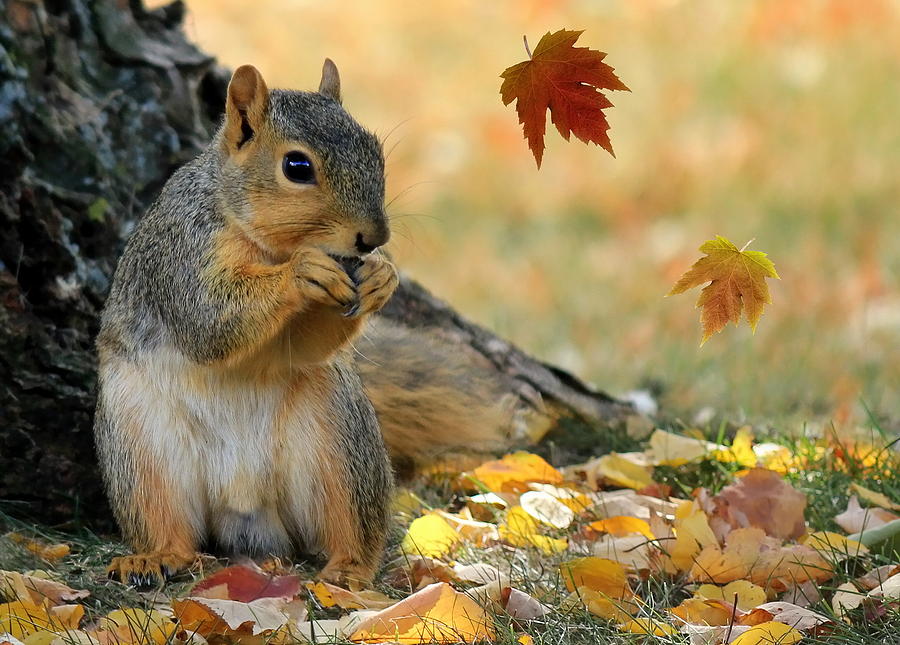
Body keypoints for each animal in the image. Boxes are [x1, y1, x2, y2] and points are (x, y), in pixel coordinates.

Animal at [95, 59, 510, 588]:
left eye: (376, 151)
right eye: (297, 167)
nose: (375, 239)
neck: (265, 243)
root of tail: (244, 508)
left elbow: (306, 344)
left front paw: (382, 277)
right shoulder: (182, 252)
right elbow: (207, 320)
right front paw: (302, 273)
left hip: (338, 438)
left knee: (349, 524)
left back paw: (349, 570)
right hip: (140, 445)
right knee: (163, 520)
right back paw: (155, 556)